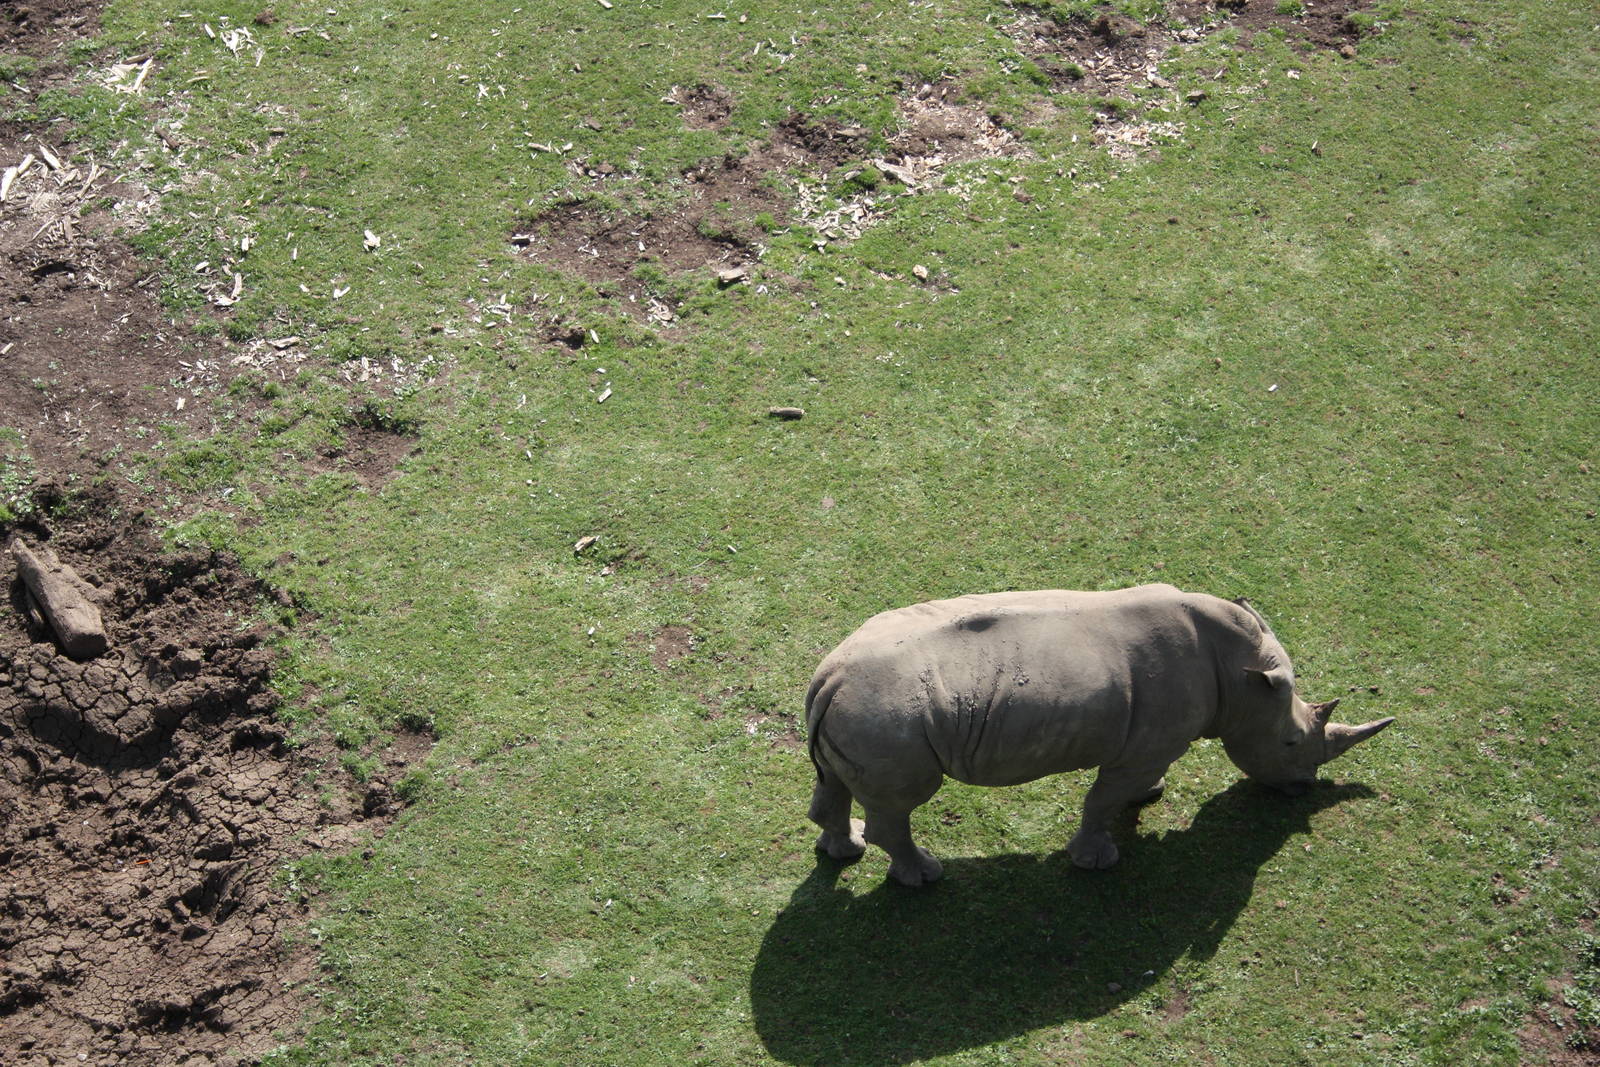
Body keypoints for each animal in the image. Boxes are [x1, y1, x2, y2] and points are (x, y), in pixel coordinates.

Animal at [805, 584, 1394, 886]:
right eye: (1291, 743)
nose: (1303, 789)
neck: (1242, 675)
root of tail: (828, 678)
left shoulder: (1153, 741)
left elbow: (1136, 782)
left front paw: (1150, 795)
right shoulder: (1142, 746)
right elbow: (1102, 800)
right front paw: (1096, 861)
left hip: (858, 712)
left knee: (833, 781)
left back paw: (845, 848)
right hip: (885, 719)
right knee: (901, 804)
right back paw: (925, 874)